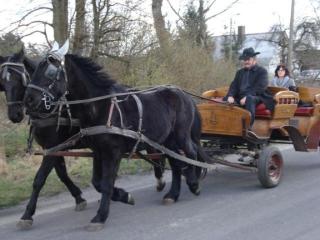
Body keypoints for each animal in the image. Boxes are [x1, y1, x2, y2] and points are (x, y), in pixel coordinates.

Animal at [0, 49, 134, 230]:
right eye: (2, 80)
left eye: (20, 77)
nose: (15, 115)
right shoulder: (52, 148)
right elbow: (62, 174)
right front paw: (79, 198)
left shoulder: (53, 148)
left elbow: (39, 179)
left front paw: (27, 214)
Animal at [23, 43, 206, 231]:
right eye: (33, 72)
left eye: (51, 72)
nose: (28, 99)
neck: (100, 107)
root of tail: (183, 94)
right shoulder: (96, 151)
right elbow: (97, 182)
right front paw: (124, 196)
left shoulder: (113, 151)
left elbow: (106, 183)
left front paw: (100, 216)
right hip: (167, 140)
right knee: (176, 161)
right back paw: (173, 194)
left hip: (180, 134)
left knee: (190, 153)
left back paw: (193, 182)